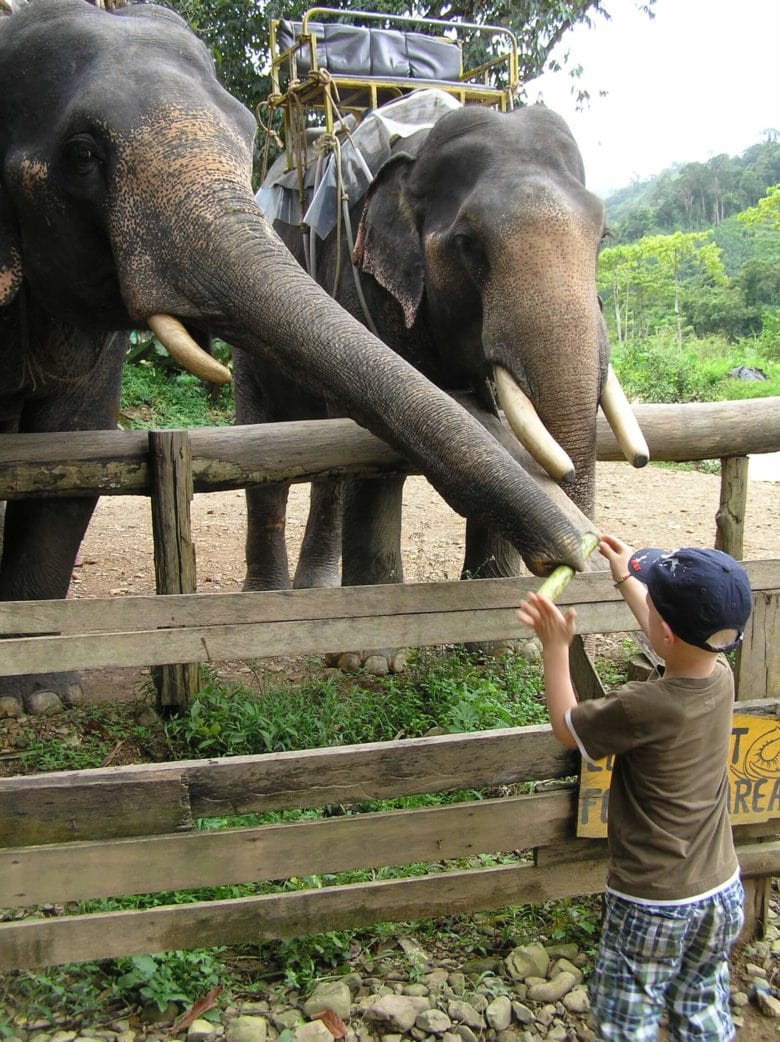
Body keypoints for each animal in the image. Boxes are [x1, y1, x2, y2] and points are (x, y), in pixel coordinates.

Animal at [244, 95, 645, 666]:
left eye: (604, 238)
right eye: (467, 243)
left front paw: (501, 650)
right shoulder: (358, 281)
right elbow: (376, 450)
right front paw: (373, 661)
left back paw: (316, 594)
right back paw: (268, 600)